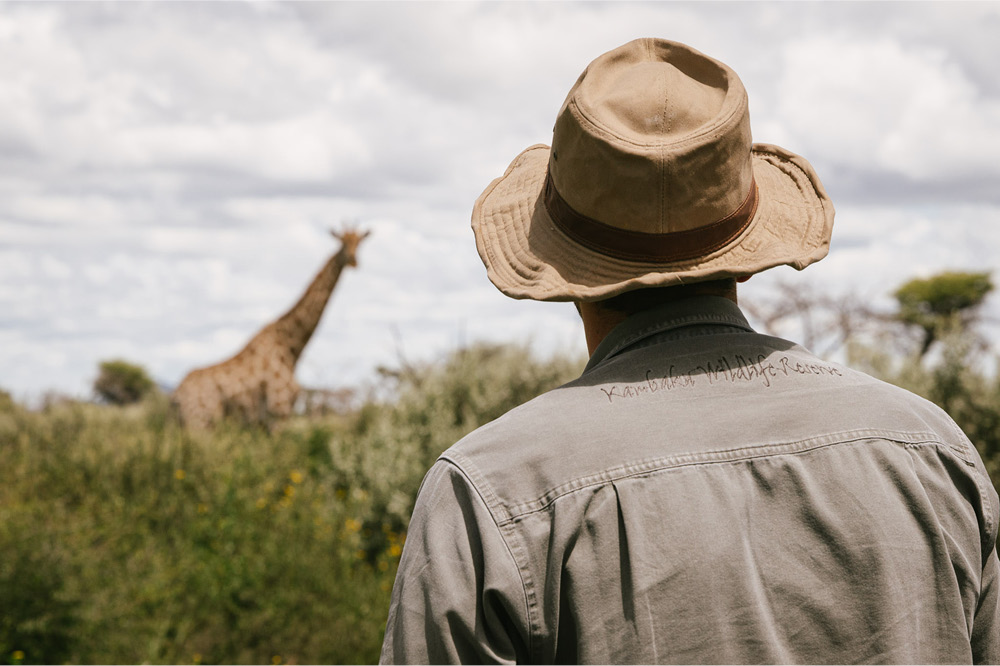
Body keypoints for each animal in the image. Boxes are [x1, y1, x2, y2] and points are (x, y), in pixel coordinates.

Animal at [172, 226, 372, 428]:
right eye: (342, 242)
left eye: (359, 242)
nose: (354, 260)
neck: (290, 346)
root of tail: (176, 395)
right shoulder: (279, 410)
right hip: (199, 420)